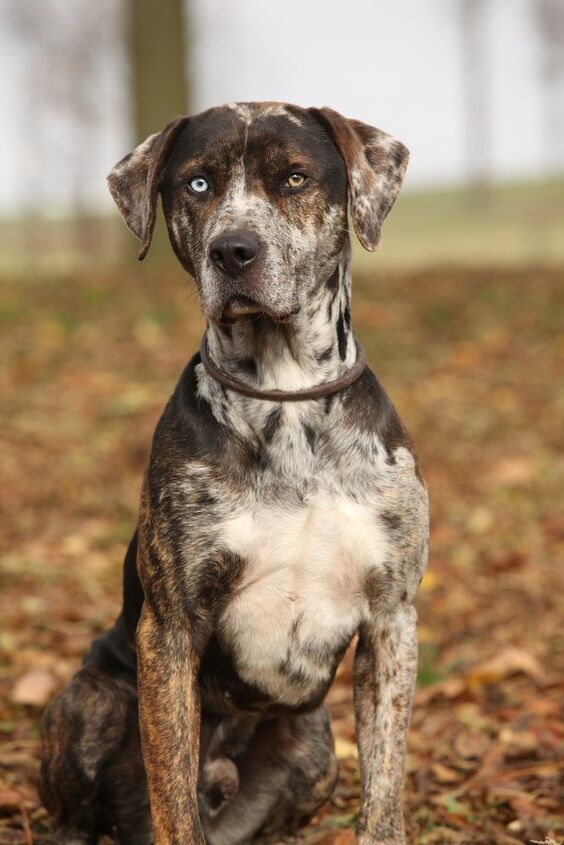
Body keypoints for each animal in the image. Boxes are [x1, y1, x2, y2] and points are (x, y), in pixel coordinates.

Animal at [39, 100, 428, 844]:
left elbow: (386, 790)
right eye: (197, 183)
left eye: (295, 178)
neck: (286, 397)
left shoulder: (391, 619)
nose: (233, 250)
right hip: (88, 701)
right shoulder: (170, 630)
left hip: (314, 743)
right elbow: (174, 796)